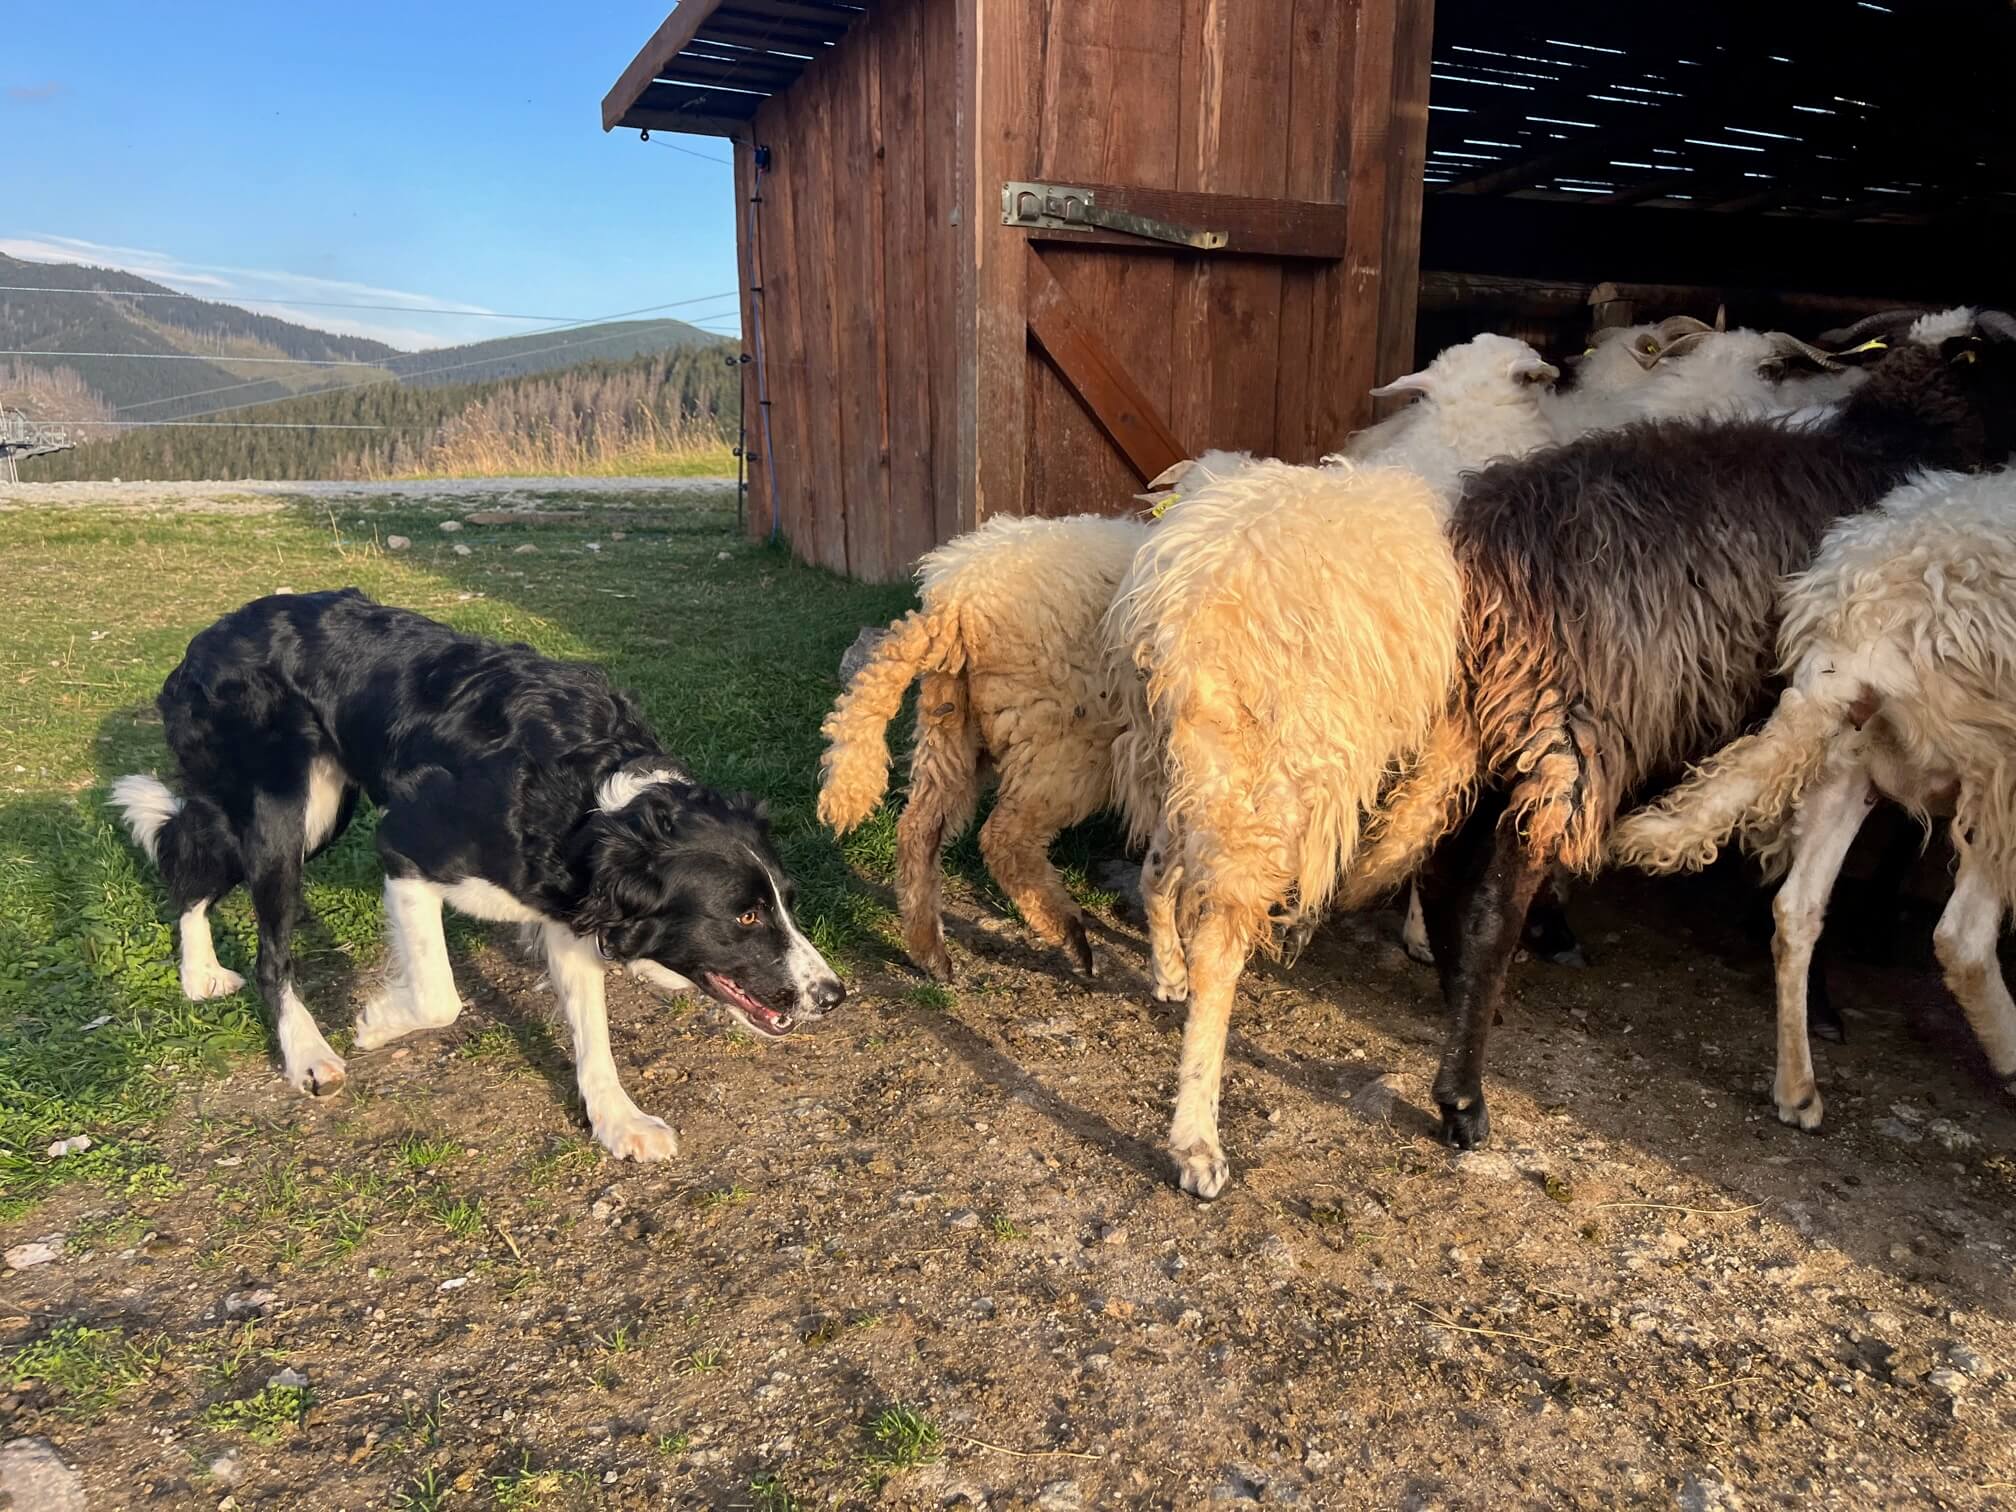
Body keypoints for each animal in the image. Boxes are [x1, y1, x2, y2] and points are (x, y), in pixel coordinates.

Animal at [106, 592, 846, 1161]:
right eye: (743, 916)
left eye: (786, 903)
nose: (834, 996)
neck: (596, 805)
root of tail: (210, 636)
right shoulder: (406, 849)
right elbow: (440, 997)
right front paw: (376, 1022)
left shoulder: (568, 904)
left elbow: (593, 1032)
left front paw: (616, 1121)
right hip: (293, 815)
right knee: (255, 933)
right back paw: (299, 1047)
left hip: (318, 812)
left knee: (191, 861)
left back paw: (200, 975)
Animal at [1604, 461, 2016, 1137]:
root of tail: (1868, 627)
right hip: (1992, 768)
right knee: (1962, 939)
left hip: (1846, 754)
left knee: (1796, 908)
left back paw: (1797, 1091)